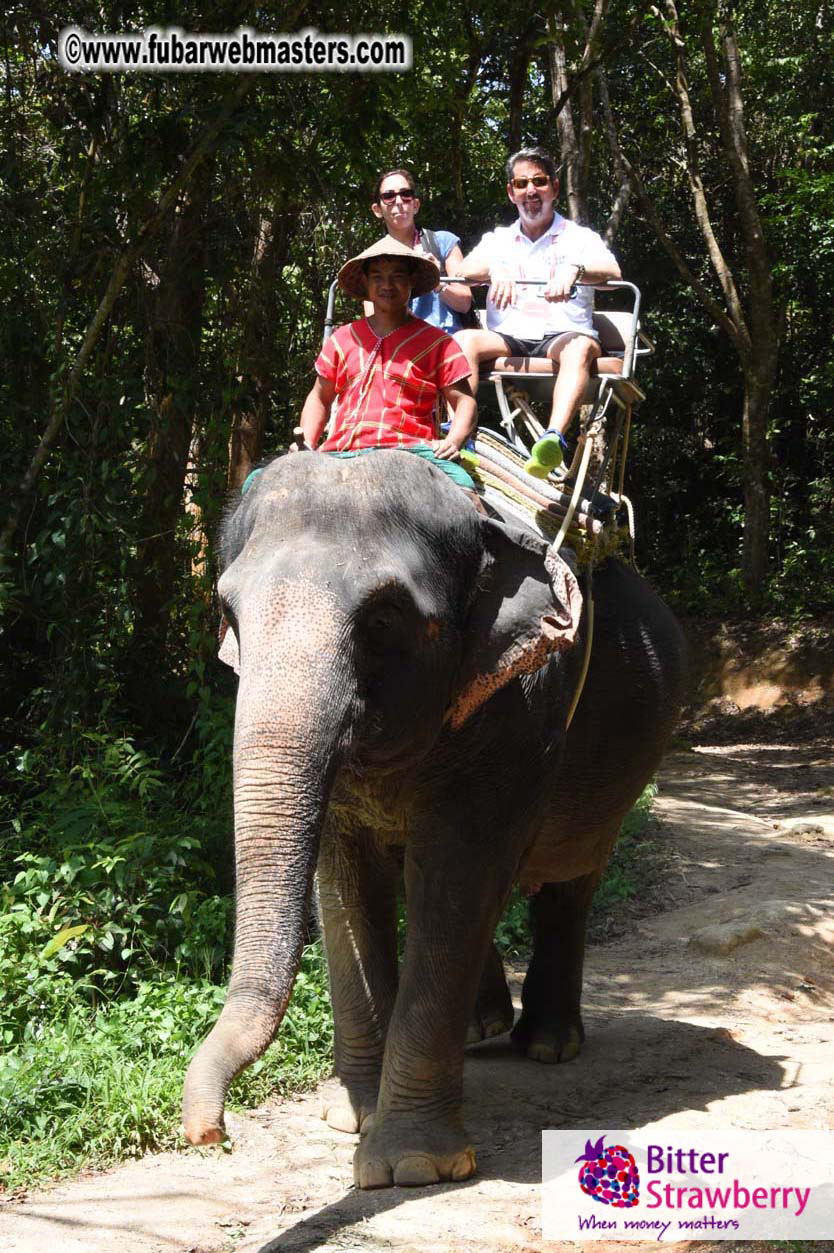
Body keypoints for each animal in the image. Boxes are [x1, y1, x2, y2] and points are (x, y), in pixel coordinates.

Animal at [182, 448, 685, 1189]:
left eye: (384, 619)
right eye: (228, 611)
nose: (211, 1133)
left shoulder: (519, 704)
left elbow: (455, 872)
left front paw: (411, 1165)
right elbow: (344, 884)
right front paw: (351, 1117)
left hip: (618, 773)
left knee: (568, 880)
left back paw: (548, 1044)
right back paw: (481, 1029)